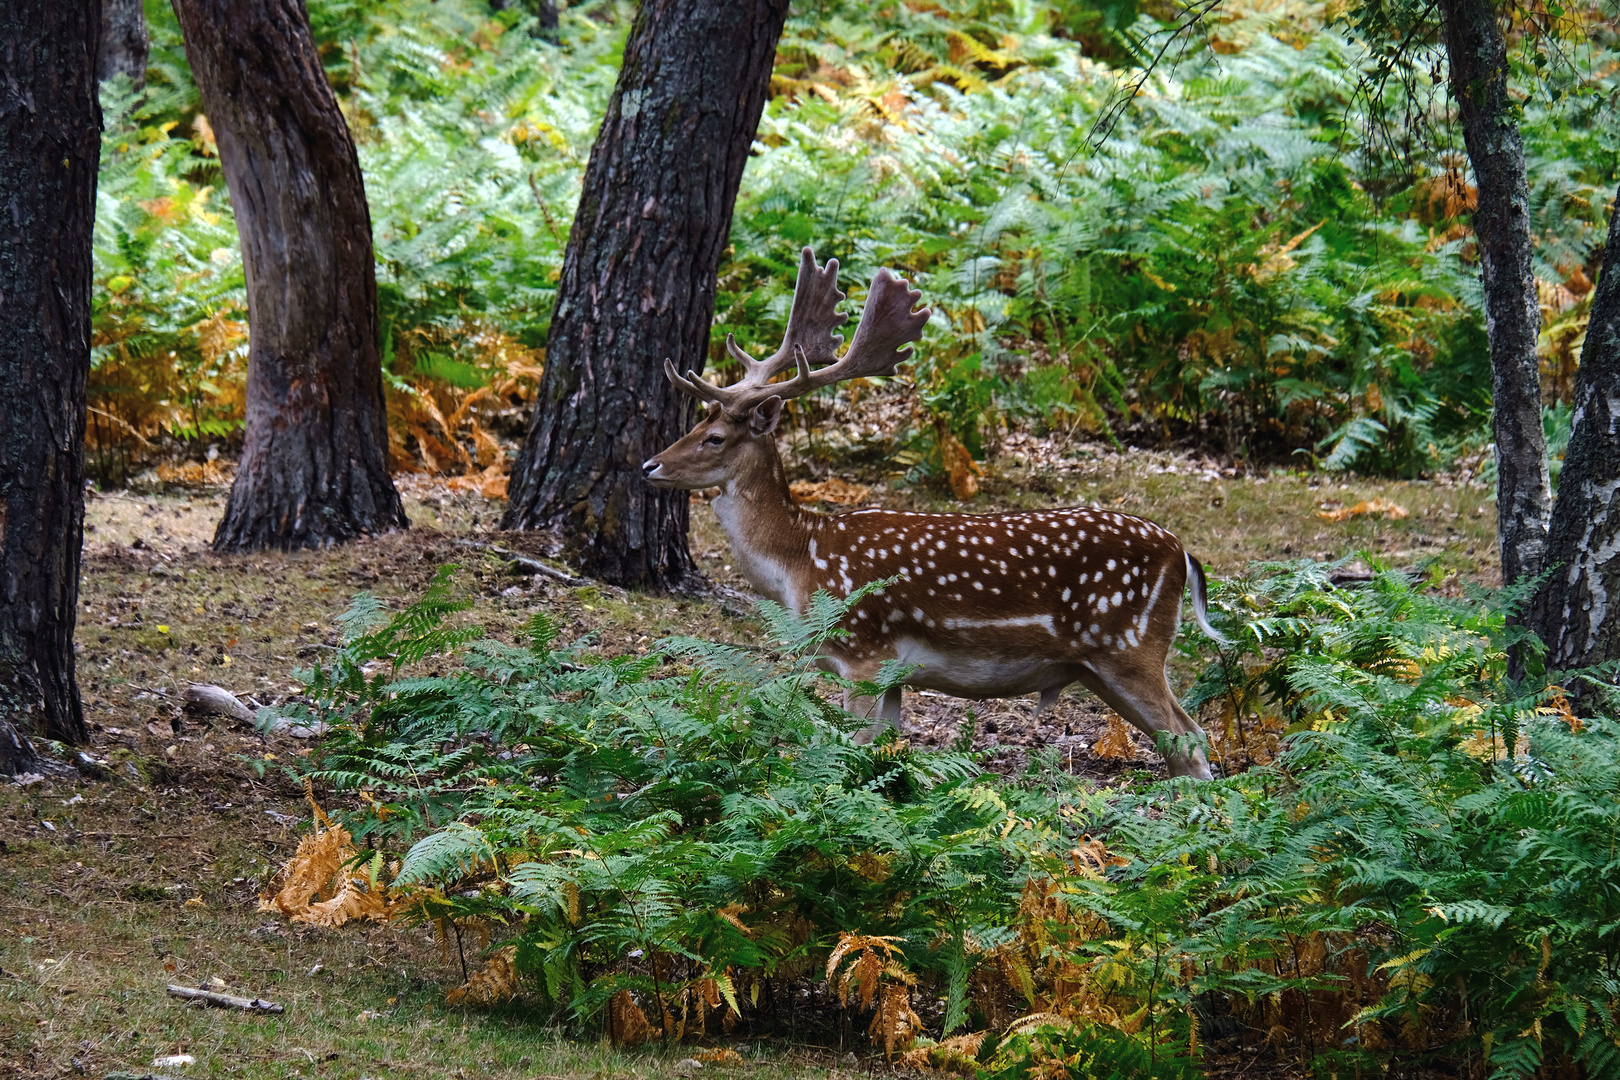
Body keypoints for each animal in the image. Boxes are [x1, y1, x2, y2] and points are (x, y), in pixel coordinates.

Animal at [638, 250, 1218, 780]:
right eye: (694, 425)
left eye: (715, 437)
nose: (650, 465)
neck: (800, 560)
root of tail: (1183, 554)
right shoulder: (891, 673)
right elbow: (883, 754)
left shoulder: (863, 650)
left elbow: (853, 753)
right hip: (1096, 665)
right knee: (1184, 737)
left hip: (1131, 645)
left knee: (1189, 738)